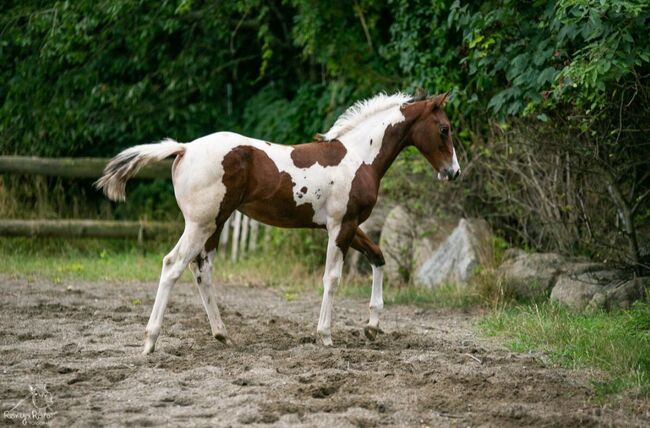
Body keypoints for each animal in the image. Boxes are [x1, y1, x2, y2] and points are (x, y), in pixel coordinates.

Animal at [96, 91, 460, 354]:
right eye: (444, 129)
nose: (453, 172)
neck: (359, 158)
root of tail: (184, 149)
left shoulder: (349, 226)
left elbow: (378, 256)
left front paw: (371, 327)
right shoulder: (341, 226)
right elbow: (332, 278)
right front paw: (326, 336)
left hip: (215, 224)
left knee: (201, 270)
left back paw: (222, 335)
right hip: (201, 224)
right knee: (173, 265)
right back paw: (150, 341)